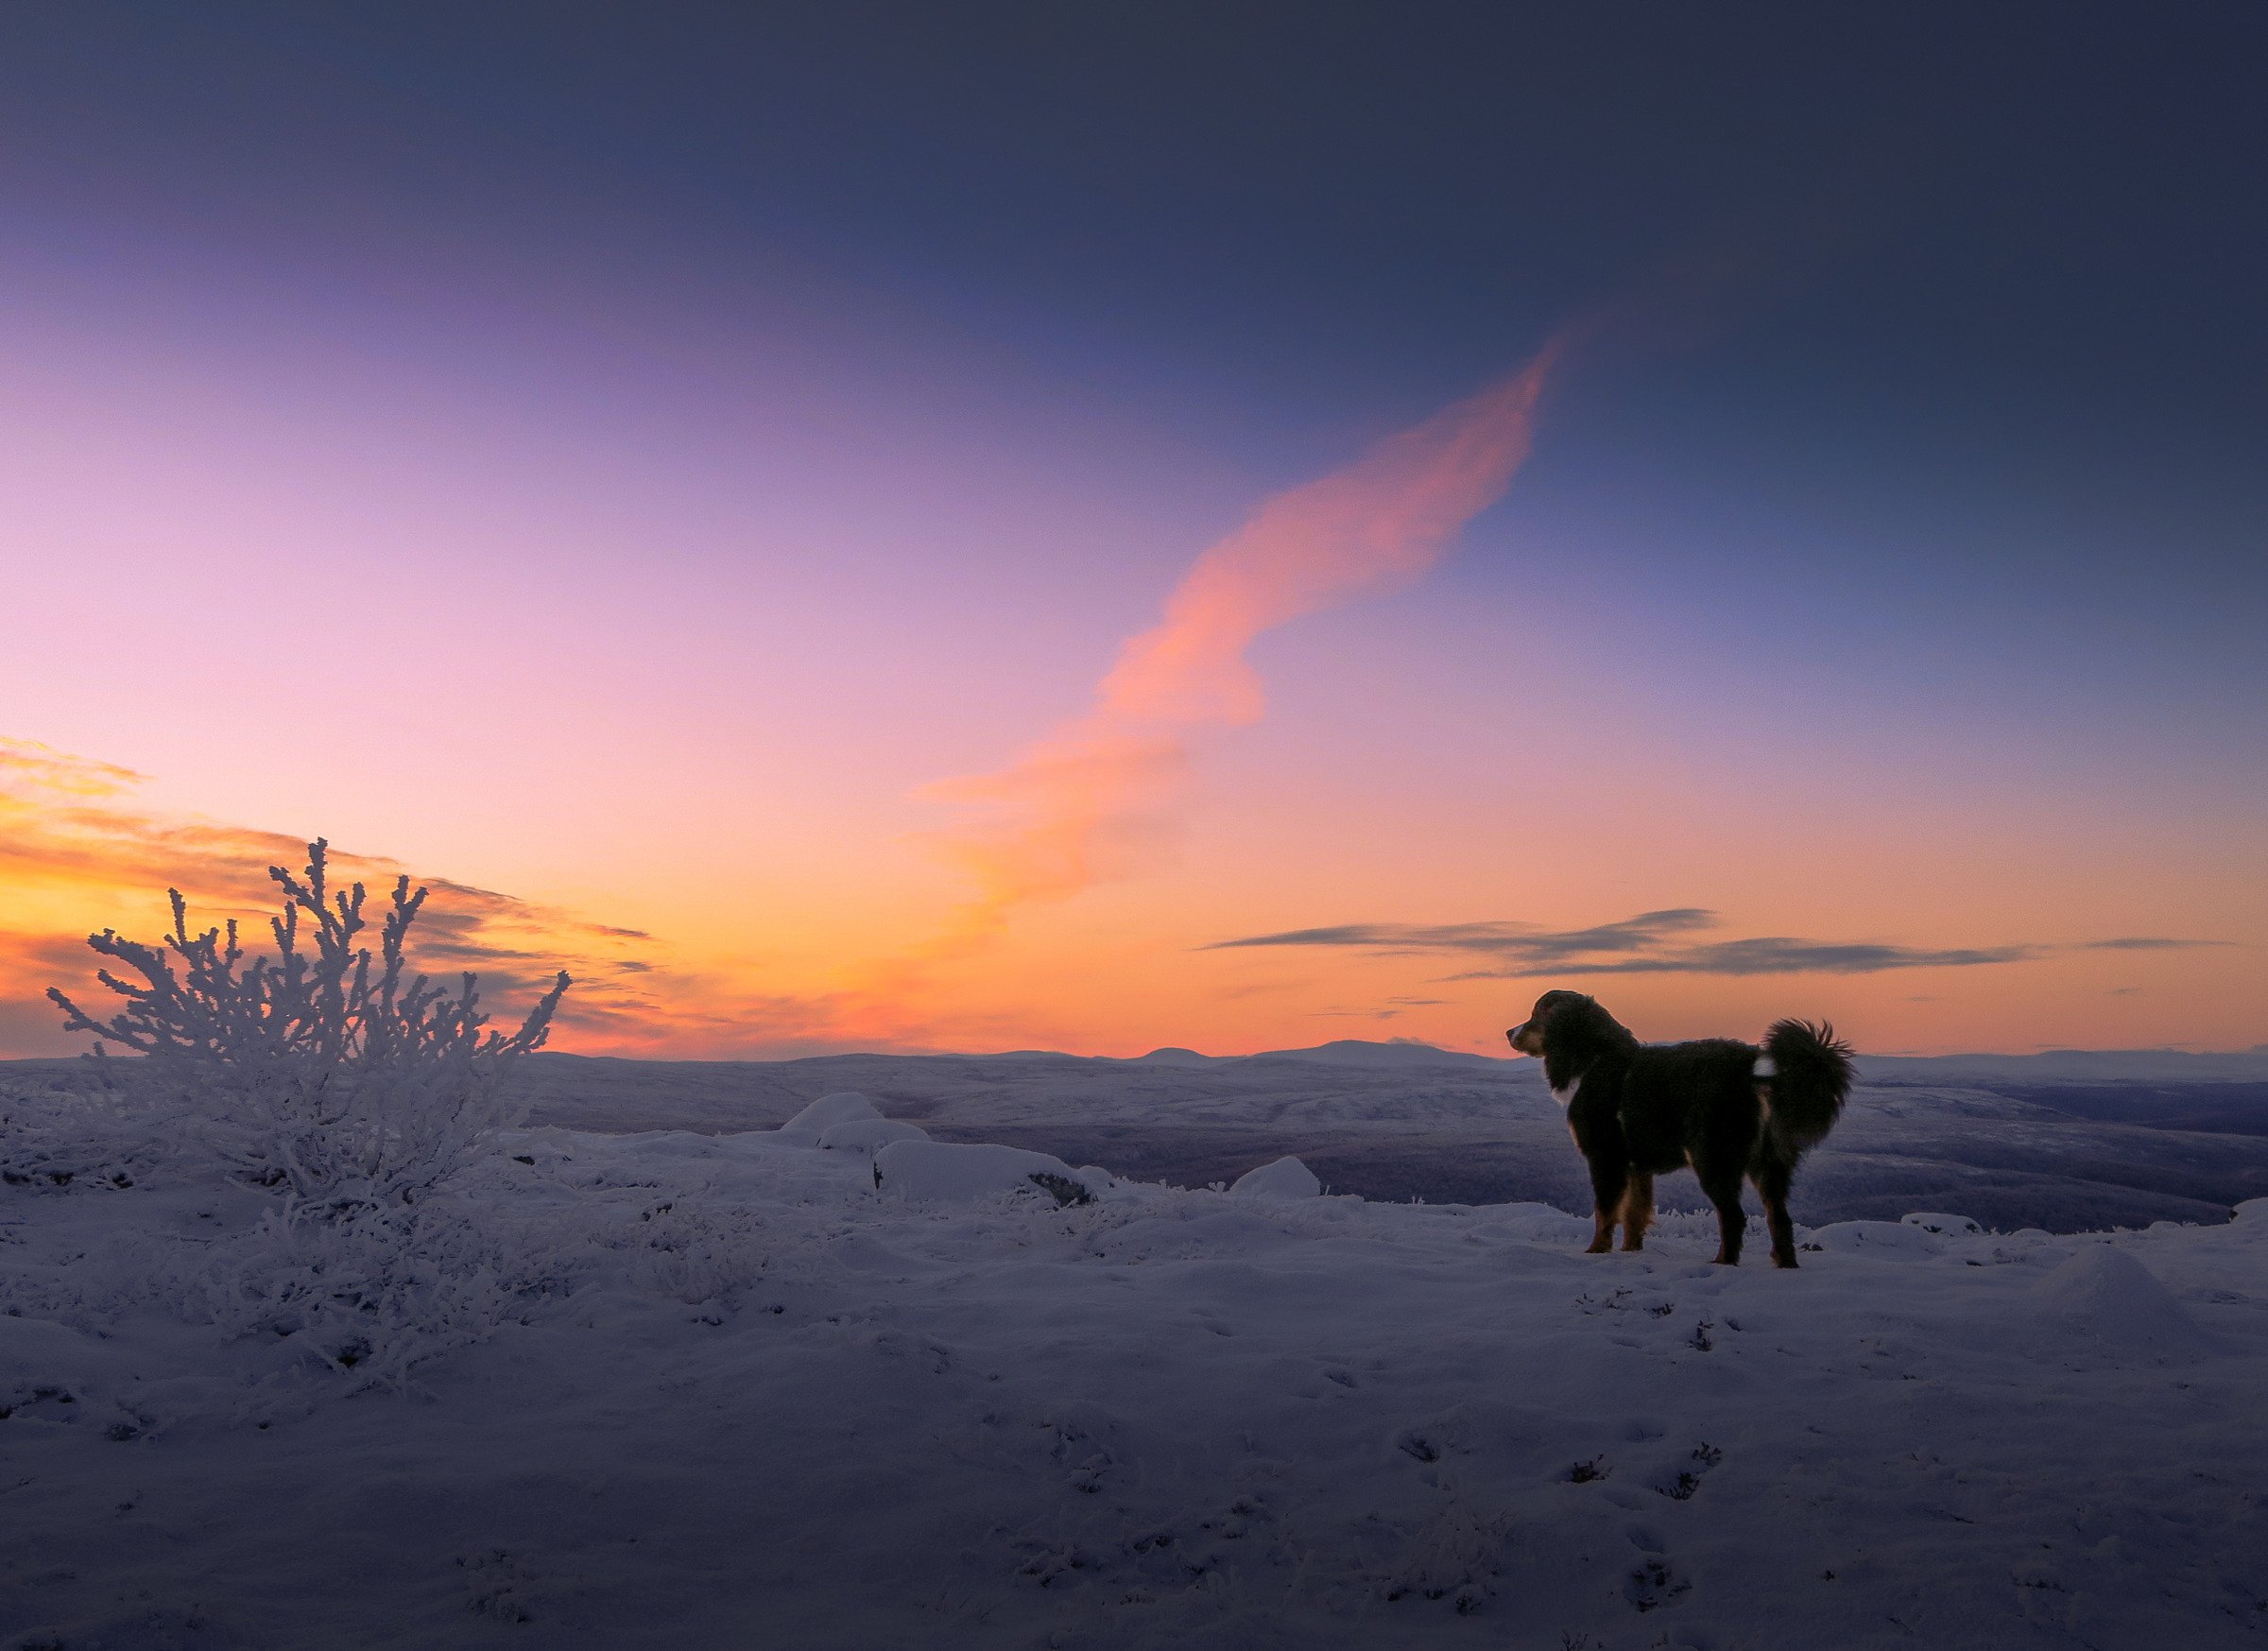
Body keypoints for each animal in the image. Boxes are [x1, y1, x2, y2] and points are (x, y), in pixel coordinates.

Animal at [1505, 993, 1841, 1261]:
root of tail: (1753, 1072)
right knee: (1780, 1220)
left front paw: (1596, 1252)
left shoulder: (1606, 1158)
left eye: (1535, 1015)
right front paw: (1629, 1253)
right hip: (1769, 1164)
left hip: (1712, 1159)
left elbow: (1605, 1212)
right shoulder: (1636, 1166)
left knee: (1733, 1217)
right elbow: (1634, 1214)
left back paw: (1723, 1263)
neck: (1594, 1061)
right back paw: (1784, 1266)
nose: (1509, 1031)